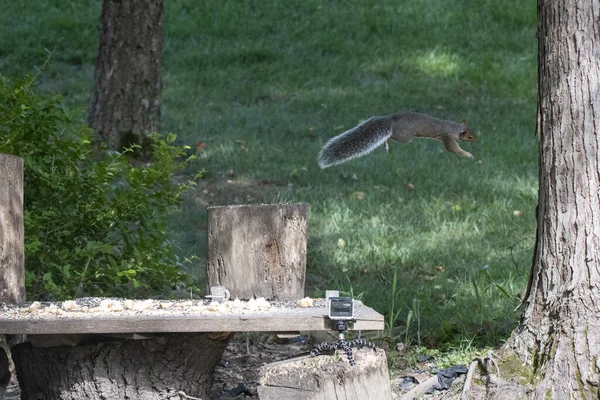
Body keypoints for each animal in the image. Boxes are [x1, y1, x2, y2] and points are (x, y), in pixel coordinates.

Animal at [318, 111, 478, 168]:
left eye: (474, 131)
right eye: (469, 136)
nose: (476, 139)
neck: (454, 128)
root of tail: (391, 118)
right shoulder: (448, 138)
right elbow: (453, 149)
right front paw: (468, 155)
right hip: (405, 136)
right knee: (391, 136)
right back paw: (386, 142)